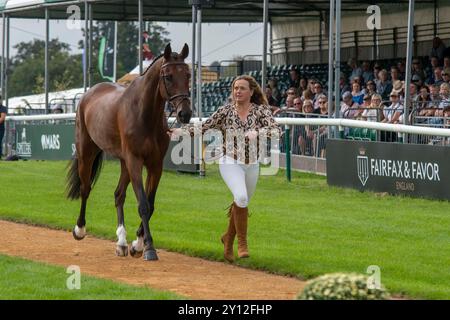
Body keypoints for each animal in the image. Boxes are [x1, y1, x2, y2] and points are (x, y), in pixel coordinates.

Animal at [66, 43, 191, 262]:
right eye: (168, 77)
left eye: (188, 75)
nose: (185, 113)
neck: (145, 114)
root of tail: (89, 93)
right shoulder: (135, 161)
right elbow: (143, 204)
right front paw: (149, 248)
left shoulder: (155, 165)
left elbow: (150, 204)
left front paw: (137, 244)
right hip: (87, 153)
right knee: (85, 188)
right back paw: (80, 229)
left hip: (124, 162)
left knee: (119, 195)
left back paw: (121, 243)